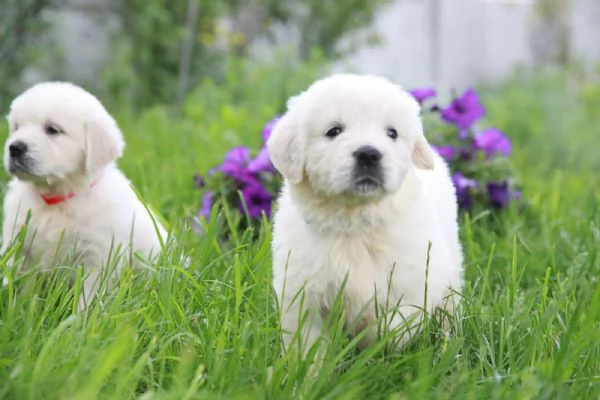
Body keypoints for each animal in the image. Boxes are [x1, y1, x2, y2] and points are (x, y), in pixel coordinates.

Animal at [0, 81, 166, 310]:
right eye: (16, 127)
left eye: (53, 130)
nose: (14, 148)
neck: (57, 198)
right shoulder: (17, 239)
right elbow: (13, 278)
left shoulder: (98, 256)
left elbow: (87, 299)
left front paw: (78, 319)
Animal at [268, 73, 464, 358]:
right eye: (334, 131)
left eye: (392, 133)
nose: (369, 154)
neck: (355, 220)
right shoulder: (302, 293)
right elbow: (308, 345)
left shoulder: (418, 283)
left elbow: (391, 326)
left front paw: (368, 338)